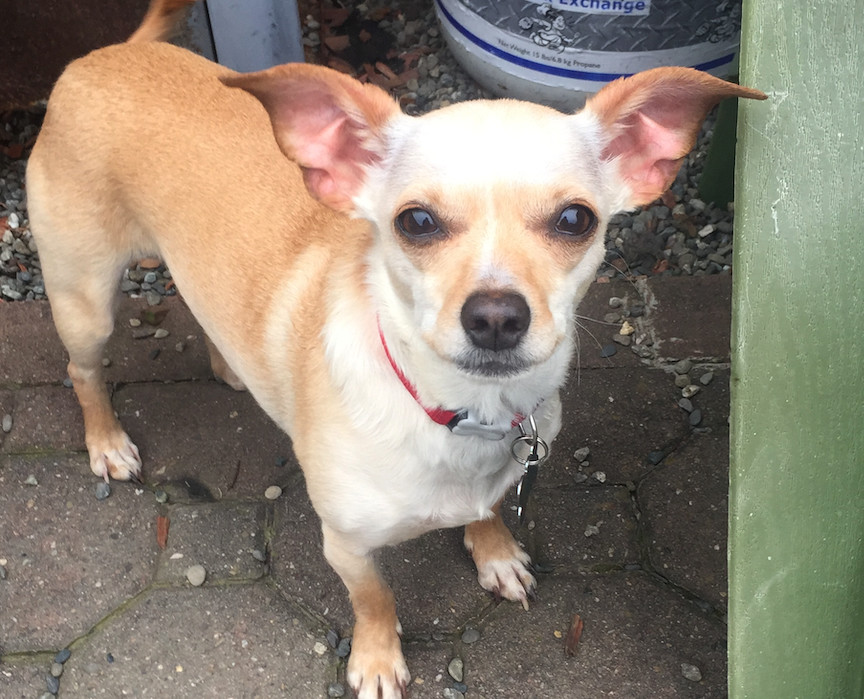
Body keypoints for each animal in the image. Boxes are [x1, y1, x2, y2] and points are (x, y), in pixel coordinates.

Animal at [27, 0, 768, 696]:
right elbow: (375, 599)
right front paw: (379, 661)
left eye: (574, 219)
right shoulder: (347, 545)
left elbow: (489, 509)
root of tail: (110, 53)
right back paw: (106, 442)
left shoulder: (496, 478)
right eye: (416, 221)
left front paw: (494, 550)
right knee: (82, 371)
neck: (465, 413)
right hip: (84, 301)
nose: (495, 316)